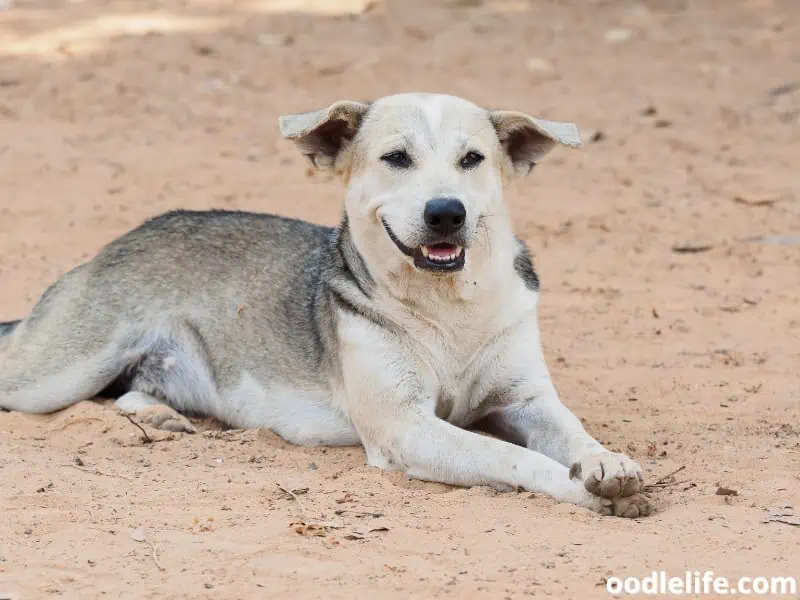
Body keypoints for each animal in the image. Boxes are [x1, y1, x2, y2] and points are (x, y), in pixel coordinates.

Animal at [0, 92, 648, 516]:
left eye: (472, 160)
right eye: (396, 158)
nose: (446, 212)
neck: (447, 309)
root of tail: (121, 239)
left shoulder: (526, 400)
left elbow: (574, 433)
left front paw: (604, 463)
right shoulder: (406, 427)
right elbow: (512, 458)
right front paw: (580, 489)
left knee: (132, 392)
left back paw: (160, 416)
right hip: (57, 372)